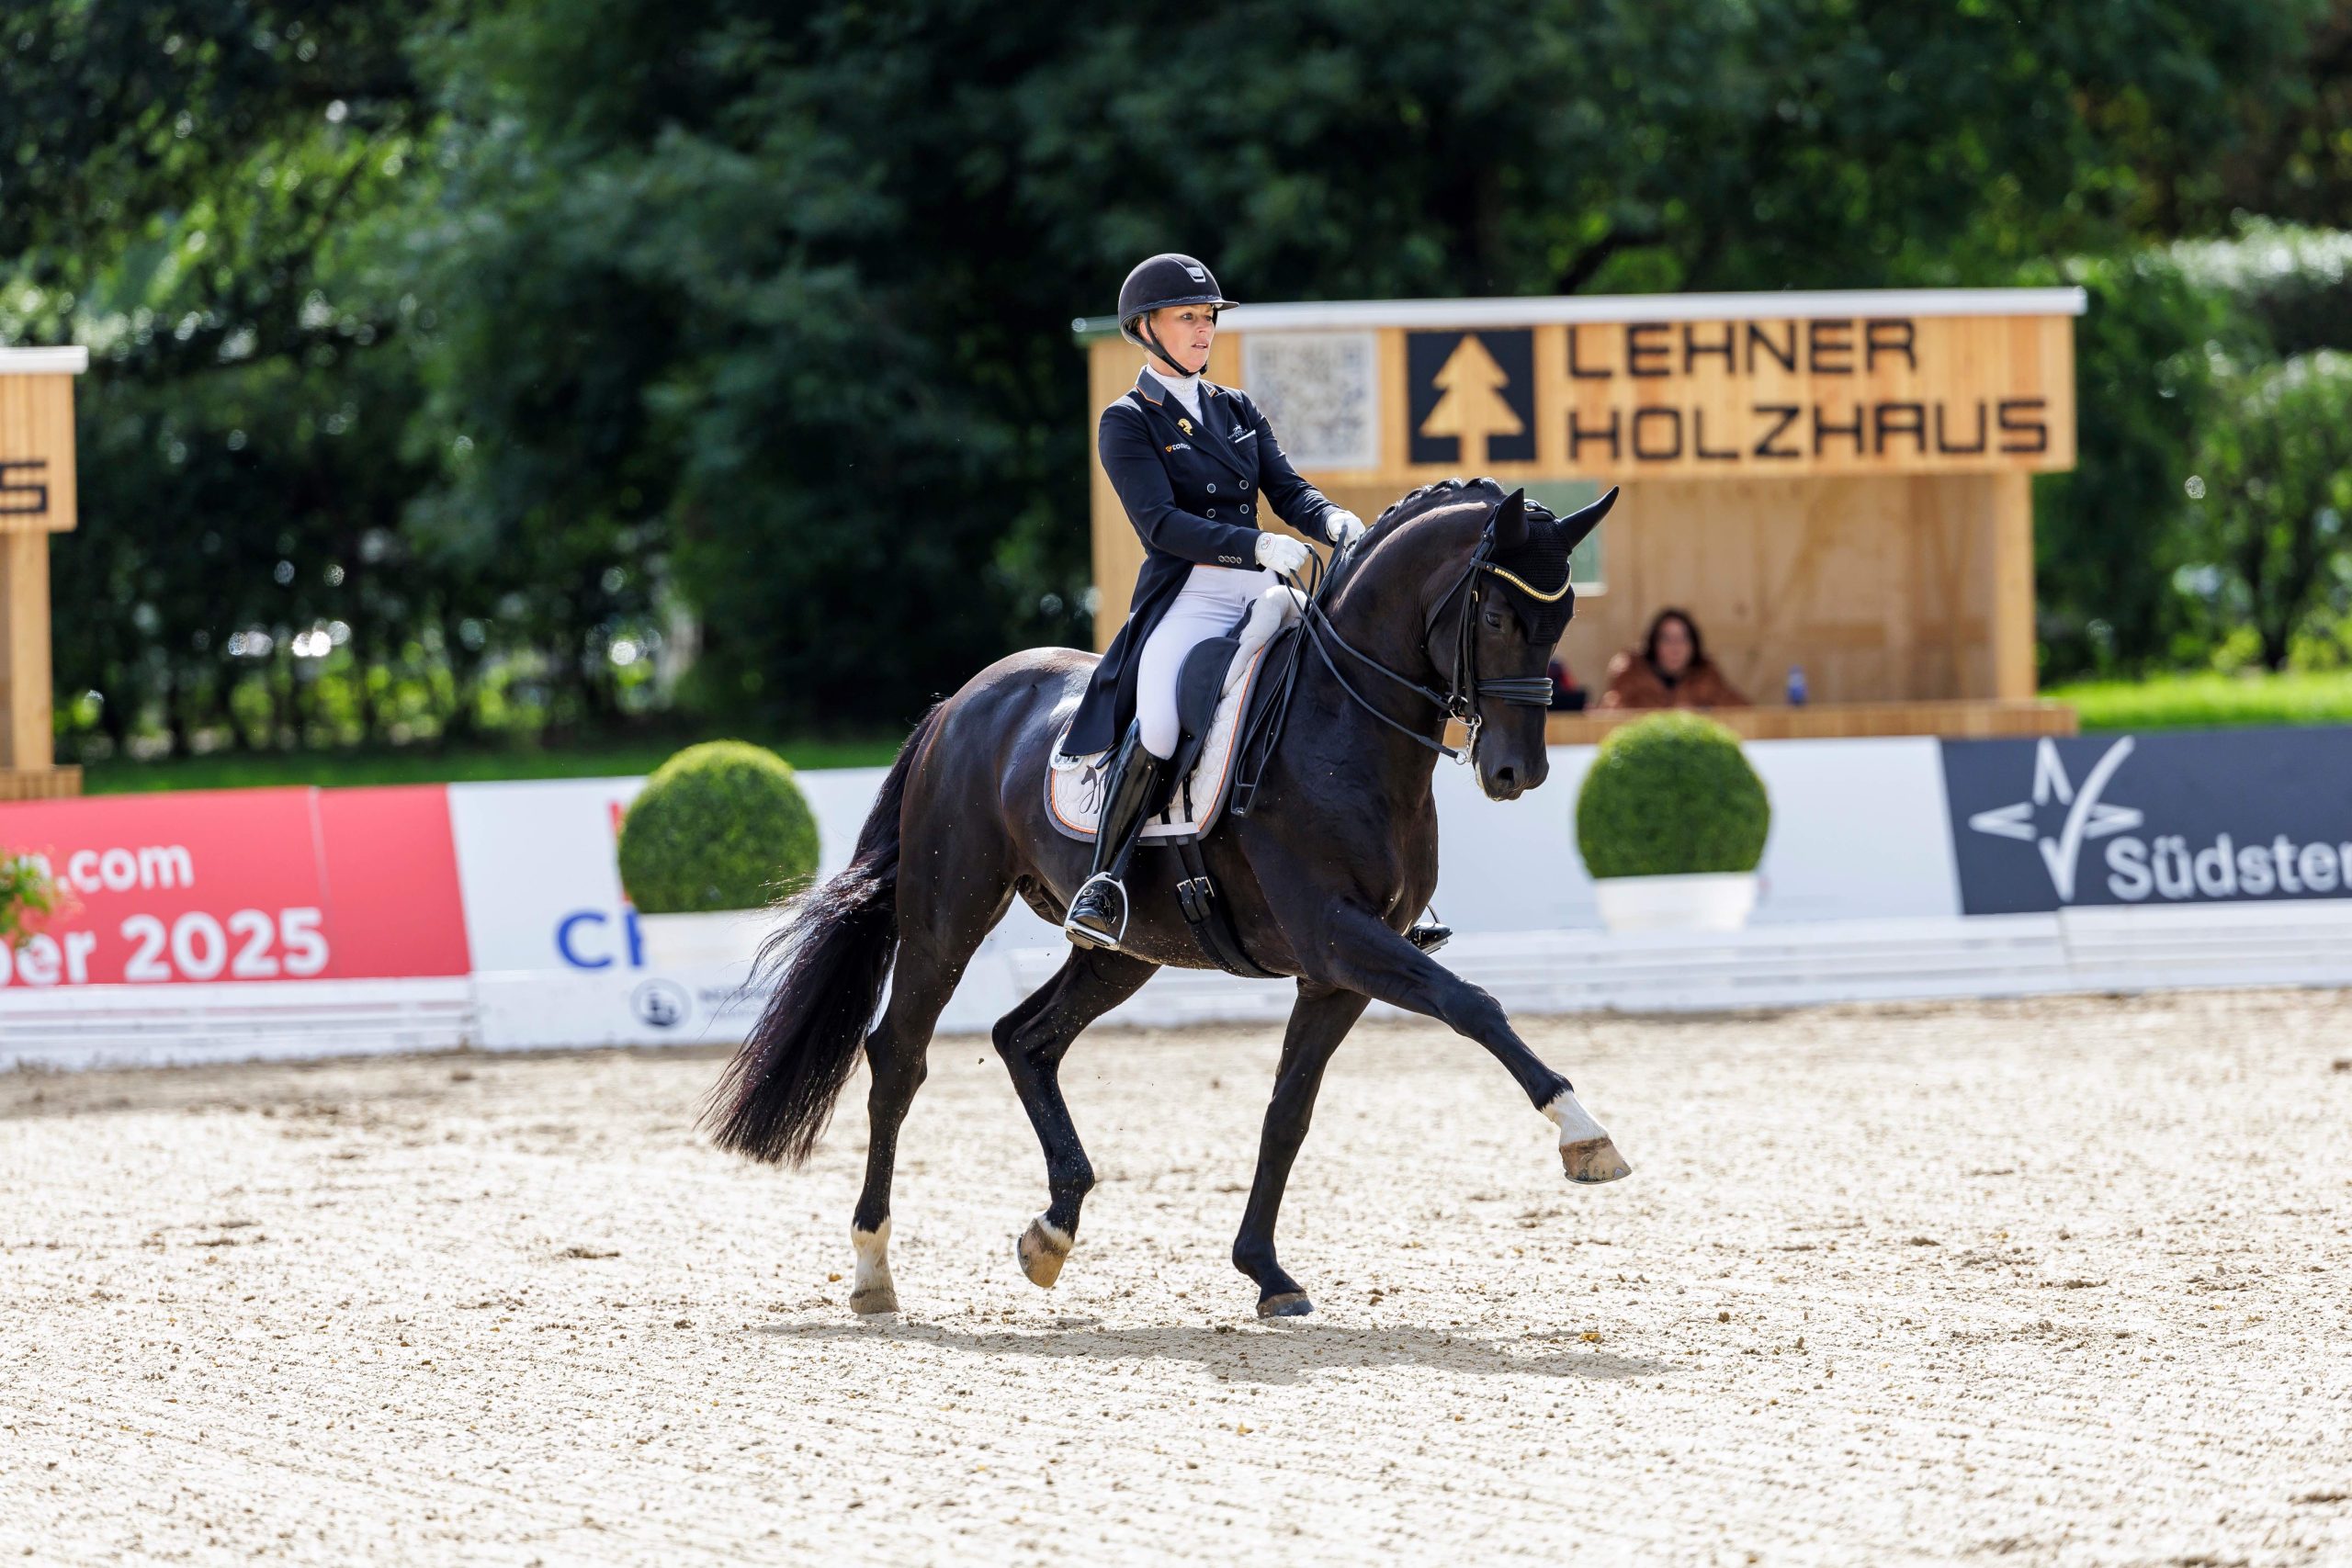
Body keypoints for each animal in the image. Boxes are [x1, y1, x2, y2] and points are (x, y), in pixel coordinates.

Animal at [706, 474, 1627, 1316]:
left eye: (1562, 621)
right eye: (1498, 618)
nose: (1516, 772)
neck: (1342, 724)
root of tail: (960, 701)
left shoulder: (1335, 973)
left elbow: (1288, 1111)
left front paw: (1266, 1272)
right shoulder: (1338, 936)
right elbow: (1472, 1003)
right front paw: (1583, 1130)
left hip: (1128, 947)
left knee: (1025, 1040)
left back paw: (1053, 1229)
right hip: (948, 914)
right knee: (899, 1056)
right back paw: (873, 1267)